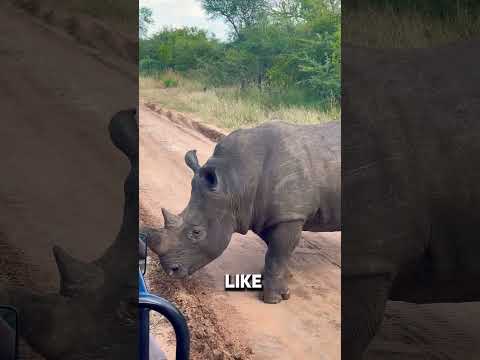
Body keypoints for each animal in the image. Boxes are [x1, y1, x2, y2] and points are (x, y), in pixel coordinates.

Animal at [143, 121, 342, 304]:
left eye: (197, 232)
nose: (171, 270)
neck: (234, 182)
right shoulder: (264, 215)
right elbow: (274, 250)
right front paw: (284, 277)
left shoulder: (289, 215)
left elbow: (276, 254)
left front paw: (274, 299)